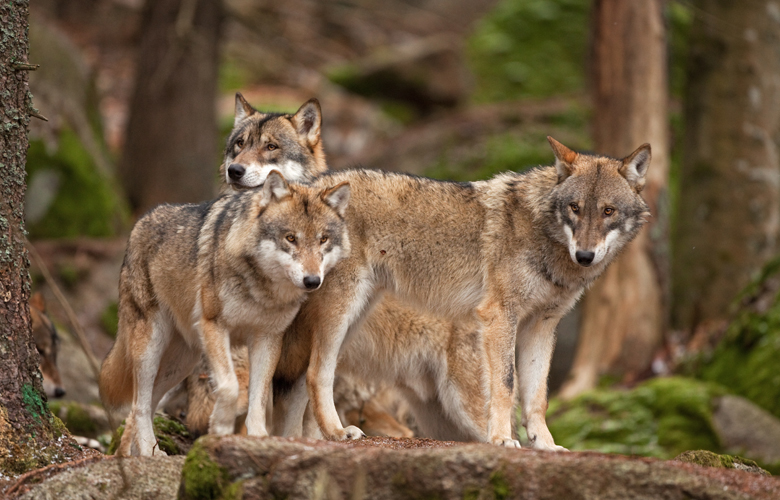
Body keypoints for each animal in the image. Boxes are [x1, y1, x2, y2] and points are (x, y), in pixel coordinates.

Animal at [98, 172, 350, 458]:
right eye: (291, 238)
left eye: (323, 239)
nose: (312, 281)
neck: (262, 290)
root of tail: (141, 221)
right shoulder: (214, 327)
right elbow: (229, 387)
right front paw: (219, 427)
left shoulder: (267, 339)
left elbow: (258, 399)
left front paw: (259, 439)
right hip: (150, 350)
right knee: (139, 404)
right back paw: (149, 453)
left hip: (181, 364)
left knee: (145, 404)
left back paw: (138, 453)